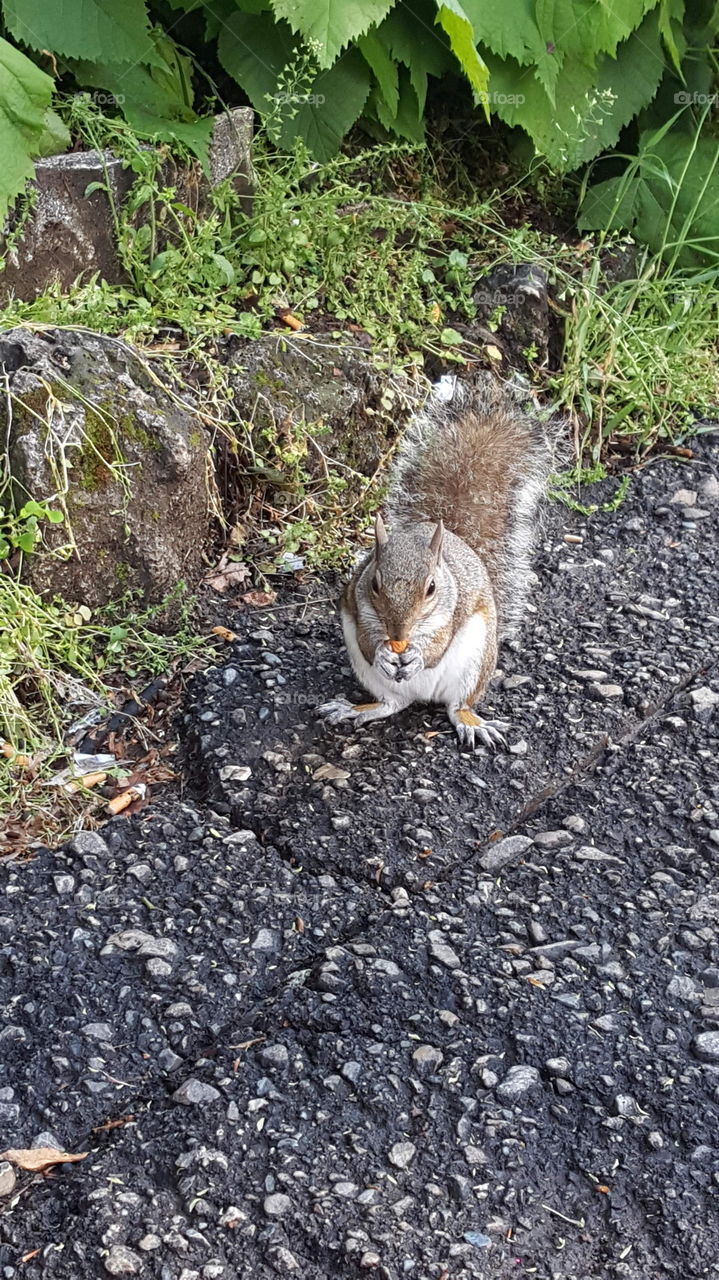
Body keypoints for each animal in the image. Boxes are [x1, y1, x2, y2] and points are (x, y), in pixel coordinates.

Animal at [319, 377, 557, 749]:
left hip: (475, 662)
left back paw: (471, 722)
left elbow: (437, 645)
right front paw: (385, 652)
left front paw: (418, 654)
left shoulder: (453, 610)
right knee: (391, 703)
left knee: (457, 705)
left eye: (431, 587)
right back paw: (356, 708)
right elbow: (367, 640)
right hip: (371, 675)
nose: (398, 634)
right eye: (375, 583)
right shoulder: (357, 607)